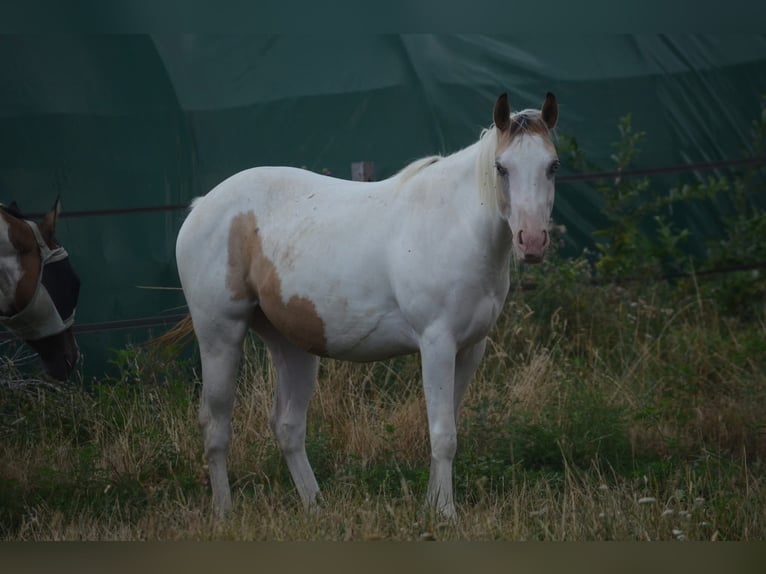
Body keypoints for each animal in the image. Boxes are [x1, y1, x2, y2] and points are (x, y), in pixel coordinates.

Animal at [175, 92, 560, 518]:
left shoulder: (471, 349)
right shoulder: (437, 344)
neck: (456, 224)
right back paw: (224, 512)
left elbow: (448, 428)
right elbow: (443, 434)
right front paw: (445, 513)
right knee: (216, 425)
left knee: (288, 427)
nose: (532, 241)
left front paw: (432, 504)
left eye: (553, 166)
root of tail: (202, 207)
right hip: (220, 337)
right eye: (501, 167)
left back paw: (316, 507)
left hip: (291, 345)